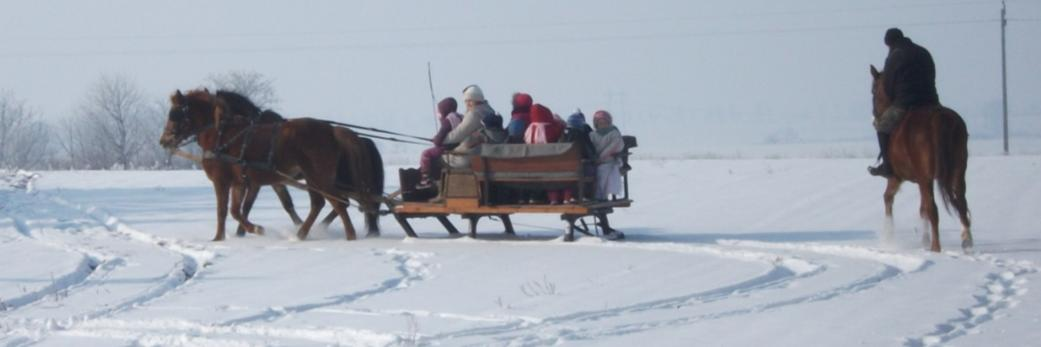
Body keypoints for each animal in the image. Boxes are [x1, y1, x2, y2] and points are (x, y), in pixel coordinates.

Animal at [158, 89, 360, 240]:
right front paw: (239, 233)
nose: (163, 141)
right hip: (315, 178)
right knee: (326, 202)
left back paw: (346, 235)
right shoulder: (241, 182)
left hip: (318, 176)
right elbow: (237, 210)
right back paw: (304, 232)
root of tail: (331, 131)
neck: (222, 135)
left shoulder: (223, 181)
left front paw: (226, 236)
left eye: (174, 114)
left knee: (337, 202)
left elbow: (225, 210)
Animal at [870, 64, 966, 251]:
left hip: (925, 178)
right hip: (957, 172)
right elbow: (921, 209)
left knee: (933, 209)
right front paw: (923, 240)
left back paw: (936, 247)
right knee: (960, 202)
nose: (875, 116)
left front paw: (889, 237)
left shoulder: (897, 177)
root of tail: (939, 119)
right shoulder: (920, 180)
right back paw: (967, 240)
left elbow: (888, 198)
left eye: (873, 90)